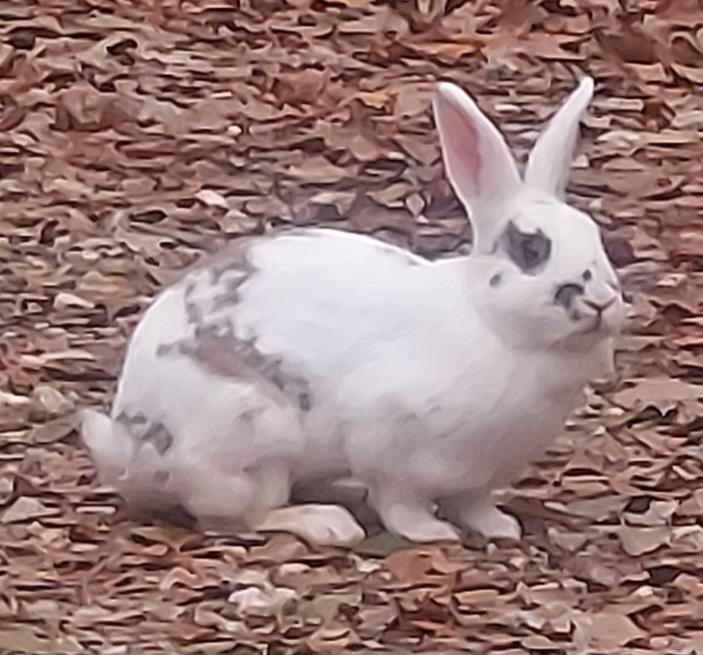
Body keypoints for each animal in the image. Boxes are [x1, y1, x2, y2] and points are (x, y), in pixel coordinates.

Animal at [81, 75, 626, 547]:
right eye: (531, 249)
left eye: (596, 236)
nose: (603, 300)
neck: (495, 326)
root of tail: (128, 445)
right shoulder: (387, 442)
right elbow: (401, 501)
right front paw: (431, 533)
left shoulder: (478, 475)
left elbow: (473, 503)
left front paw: (499, 527)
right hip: (248, 435)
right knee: (239, 516)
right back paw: (329, 523)